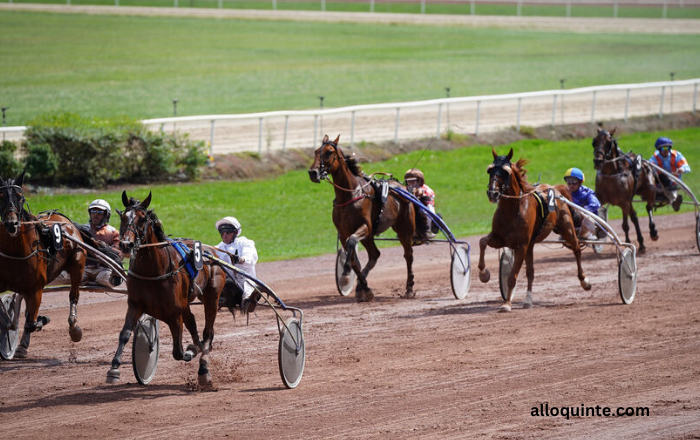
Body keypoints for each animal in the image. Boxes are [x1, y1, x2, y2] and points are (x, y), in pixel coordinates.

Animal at [0, 170, 88, 356]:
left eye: (20, 197)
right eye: (0, 196)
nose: (11, 224)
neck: (15, 252)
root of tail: (62, 218)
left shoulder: (36, 289)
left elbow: (31, 323)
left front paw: (42, 319)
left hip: (78, 264)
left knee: (74, 296)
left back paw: (74, 329)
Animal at [105, 191, 226, 386]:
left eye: (142, 218)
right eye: (123, 217)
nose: (126, 244)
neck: (153, 271)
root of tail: (211, 252)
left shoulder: (174, 314)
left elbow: (178, 352)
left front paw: (190, 352)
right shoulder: (135, 305)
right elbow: (125, 333)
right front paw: (114, 368)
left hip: (212, 297)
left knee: (208, 332)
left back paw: (203, 369)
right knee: (193, 323)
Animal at [308, 135, 416, 302]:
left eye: (329, 152)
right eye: (315, 151)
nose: (313, 172)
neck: (350, 195)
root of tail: (403, 187)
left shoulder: (365, 226)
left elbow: (352, 243)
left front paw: (346, 274)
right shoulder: (344, 232)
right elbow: (353, 258)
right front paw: (364, 288)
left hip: (404, 229)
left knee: (408, 255)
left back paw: (409, 288)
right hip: (369, 237)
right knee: (375, 254)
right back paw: (361, 286)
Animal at [476, 149, 592, 312]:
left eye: (505, 172)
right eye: (490, 170)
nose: (492, 193)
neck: (512, 211)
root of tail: (554, 188)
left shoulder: (521, 246)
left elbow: (512, 276)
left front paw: (506, 303)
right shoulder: (500, 239)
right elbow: (482, 242)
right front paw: (483, 274)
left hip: (566, 228)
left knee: (576, 250)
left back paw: (584, 281)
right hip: (531, 245)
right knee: (530, 272)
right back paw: (528, 300)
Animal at [592, 126, 660, 254]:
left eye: (608, 142)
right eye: (594, 142)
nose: (598, 161)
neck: (611, 175)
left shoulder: (624, 203)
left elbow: (625, 225)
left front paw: (627, 243)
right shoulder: (601, 199)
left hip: (649, 189)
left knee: (649, 207)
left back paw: (653, 232)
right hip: (630, 199)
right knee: (635, 217)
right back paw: (641, 244)